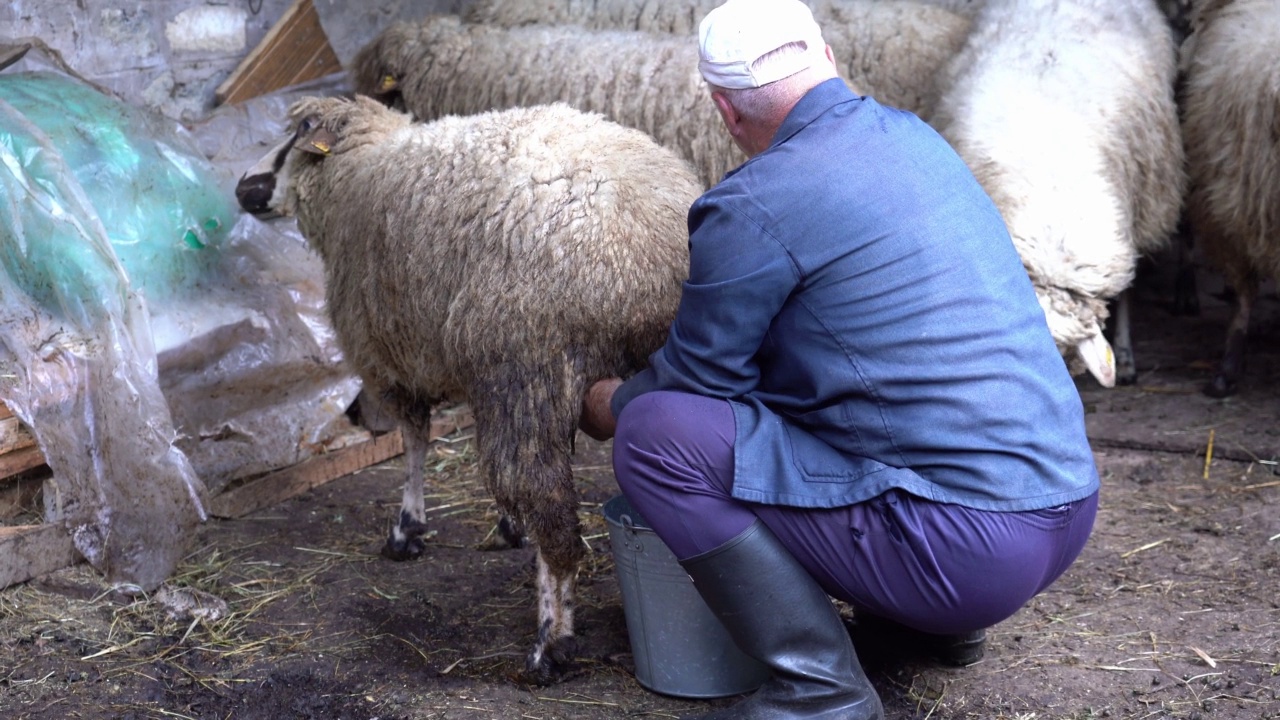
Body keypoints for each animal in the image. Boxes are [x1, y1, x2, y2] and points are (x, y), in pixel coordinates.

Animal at [230, 96, 701, 681]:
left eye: (300, 131)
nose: (243, 187)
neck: (361, 169)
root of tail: (657, 248)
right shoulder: (467, 366)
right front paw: (506, 525)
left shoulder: (392, 356)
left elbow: (414, 440)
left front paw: (407, 530)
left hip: (527, 368)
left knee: (551, 513)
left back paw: (550, 643)